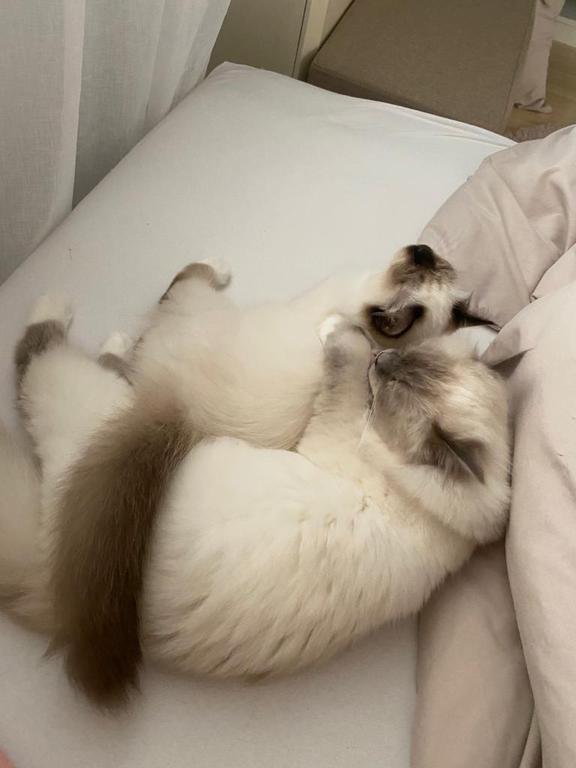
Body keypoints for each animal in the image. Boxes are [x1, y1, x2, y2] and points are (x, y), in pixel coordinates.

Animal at [1, 245, 495, 706]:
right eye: (430, 264)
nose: (423, 250)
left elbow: (180, 282)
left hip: (101, 401)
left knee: (52, 351)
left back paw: (72, 311)